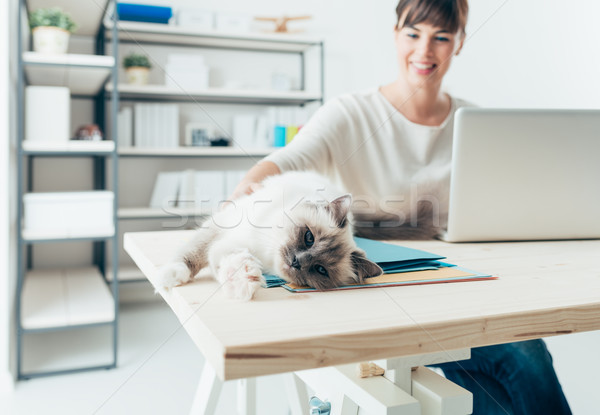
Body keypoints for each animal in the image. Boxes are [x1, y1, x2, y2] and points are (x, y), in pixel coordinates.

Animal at [157, 171, 382, 300]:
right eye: (309, 238)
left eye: (320, 269)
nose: (296, 262)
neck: (264, 249)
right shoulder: (220, 226)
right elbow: (193, 252)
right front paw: (171, 276)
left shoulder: (227, 246)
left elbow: (227, 262)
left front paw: (242, 282)